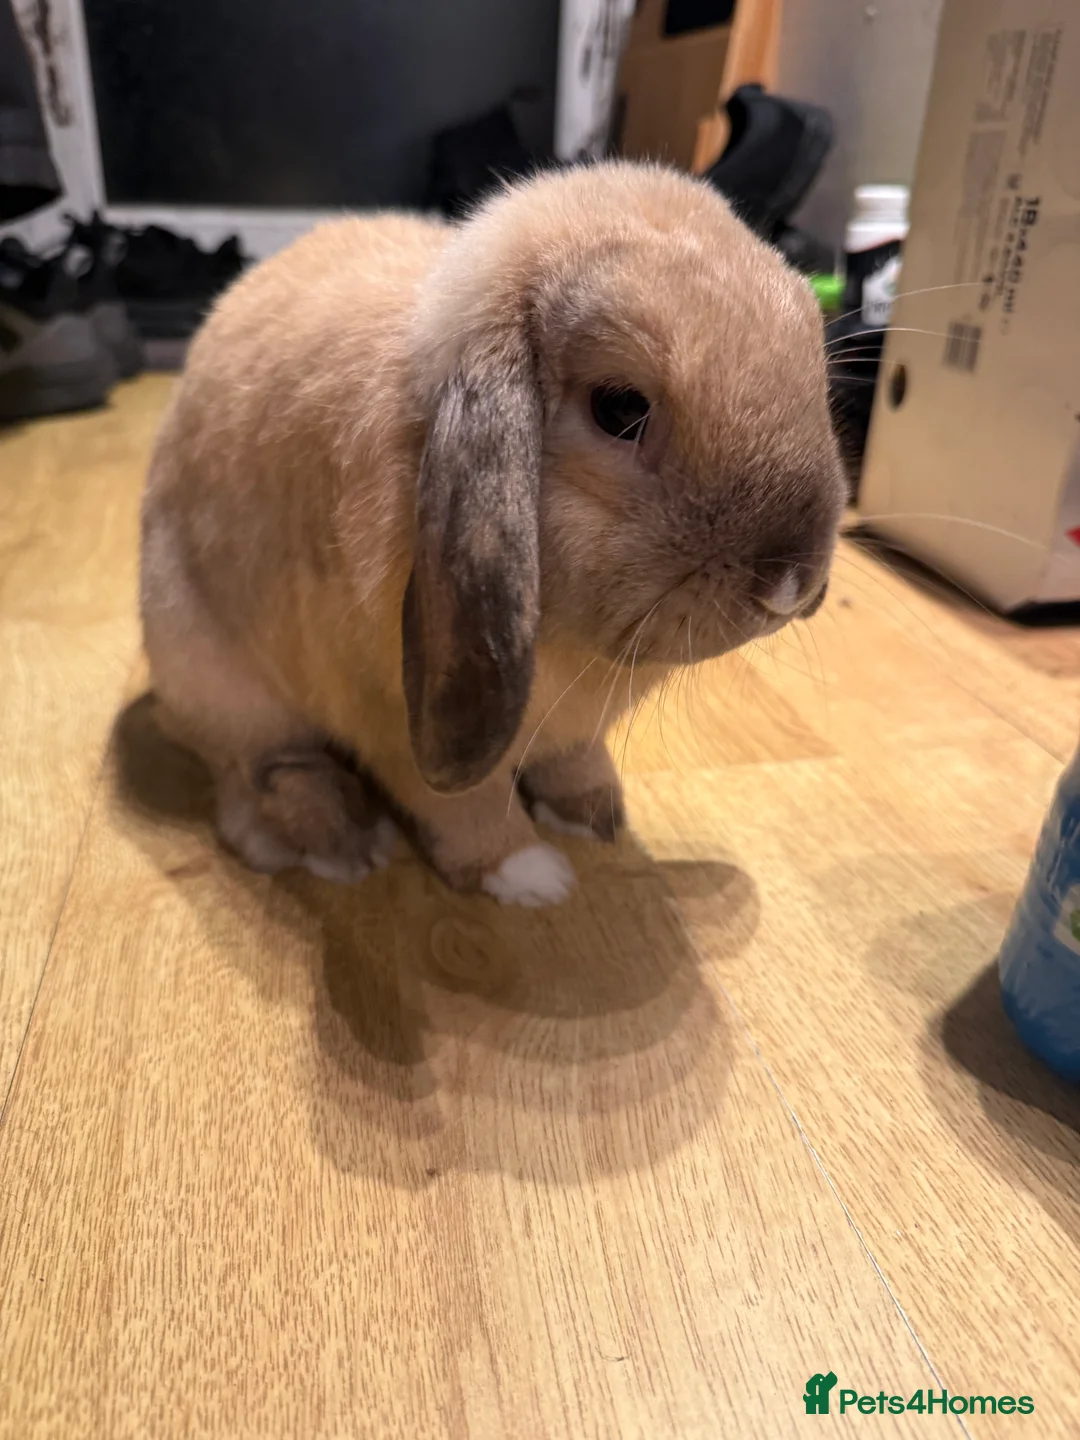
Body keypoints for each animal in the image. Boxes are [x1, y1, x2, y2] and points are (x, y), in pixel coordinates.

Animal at [139, 160, 845, 907]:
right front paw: (529, 876)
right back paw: (341, 841)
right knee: (260, 772)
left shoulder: (572, 730)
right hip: (218, 678)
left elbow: (574, 759)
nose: (791, 584)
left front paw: (594, 814)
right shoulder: (401, 725)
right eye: (620, 409)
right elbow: (465, 806)